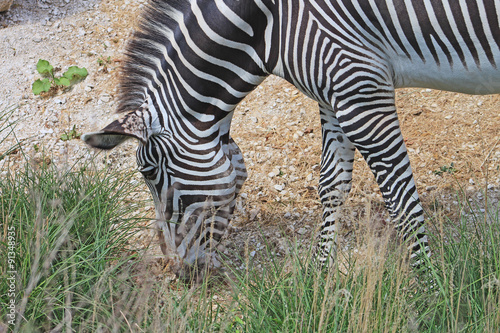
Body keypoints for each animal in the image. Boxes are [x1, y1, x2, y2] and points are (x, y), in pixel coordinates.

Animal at [80, 0, 498, 280]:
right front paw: (319, 275)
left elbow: (401, 201)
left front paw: (429, 288)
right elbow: (331, 185)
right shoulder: (335, 92)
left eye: (149, 173)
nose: (178, 273)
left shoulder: (361, 88)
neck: (270, 24)